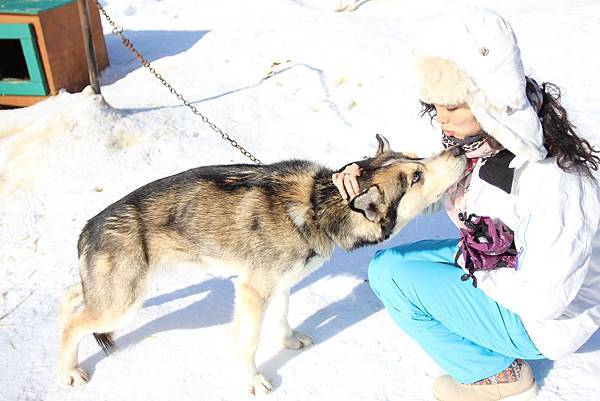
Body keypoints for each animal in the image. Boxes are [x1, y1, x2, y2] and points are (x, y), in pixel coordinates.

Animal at [58, 135, 466, 394]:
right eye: (417, 177)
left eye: (417, 158)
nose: (460, 149)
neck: (317, 205)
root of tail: (88, 227)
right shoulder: (253, 290)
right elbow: (248, 343)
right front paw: (252, 381)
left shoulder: (281, 283)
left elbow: (282, 316)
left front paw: (288, 339)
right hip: (122, 305)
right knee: (74, 325)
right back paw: (70, 370)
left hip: (110, 294)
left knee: (71, 297)